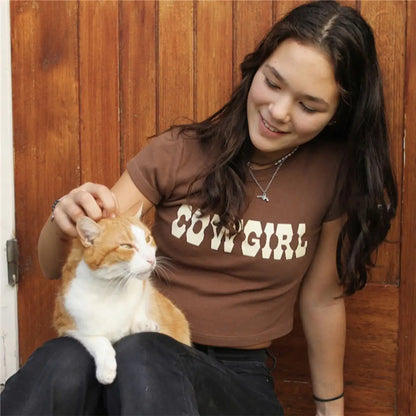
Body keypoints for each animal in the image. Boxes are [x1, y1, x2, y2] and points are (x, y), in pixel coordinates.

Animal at [53, 213, 192, 386]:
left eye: (147, 239)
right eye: (126, 246)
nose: (151, 260)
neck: (110, 290)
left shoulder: (143, 289)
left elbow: (138, 308)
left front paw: (143, 324)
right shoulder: (68, 325)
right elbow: (99, 340)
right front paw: (106, 368)